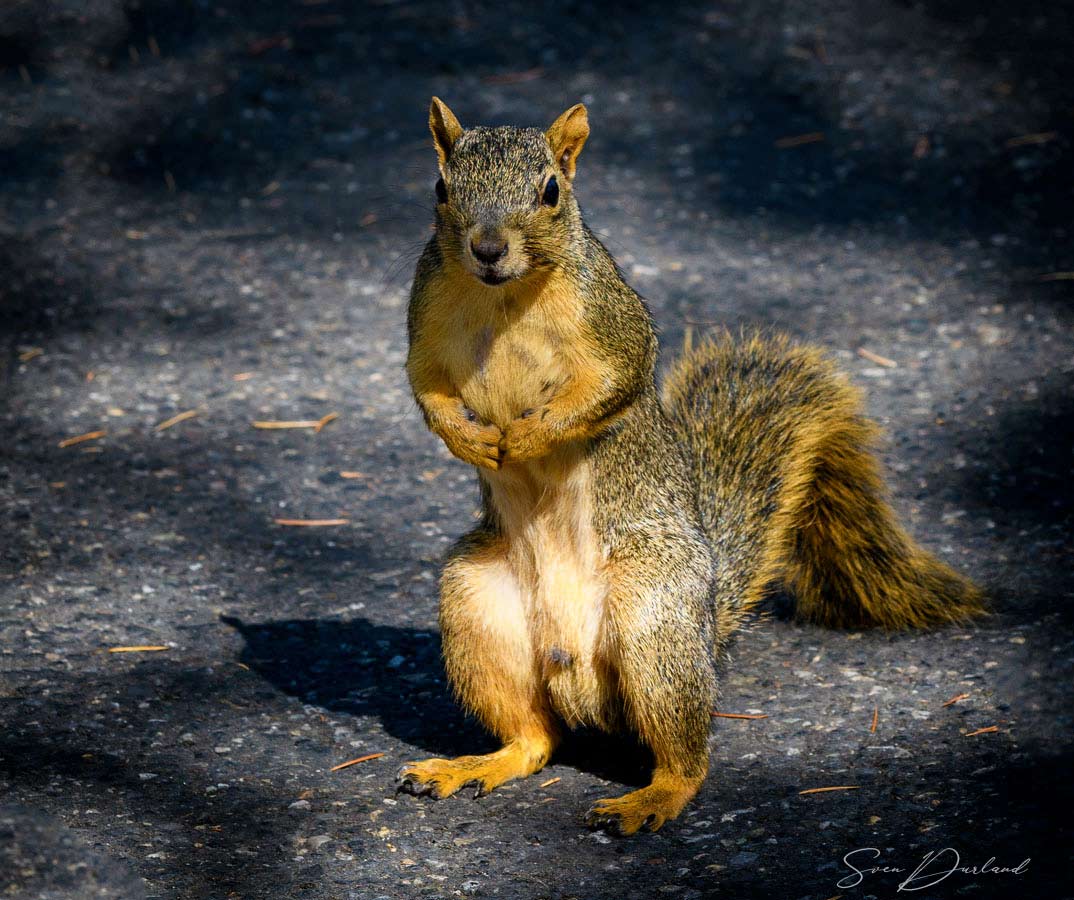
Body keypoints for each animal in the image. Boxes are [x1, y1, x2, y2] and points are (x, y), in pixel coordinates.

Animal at [397, 98, 985, 835]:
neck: (504, 297)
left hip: (656, 619)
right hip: (477, 604)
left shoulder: (612, 321)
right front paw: (467, 439)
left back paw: (653, 797)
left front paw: (529, 437)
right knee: (535, 739)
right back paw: (473, 765)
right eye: (441, 188)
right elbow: (425, 388)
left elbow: (610, 383)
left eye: (551, 192)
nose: (487, 248)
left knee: (684, 752)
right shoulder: (425, 317)